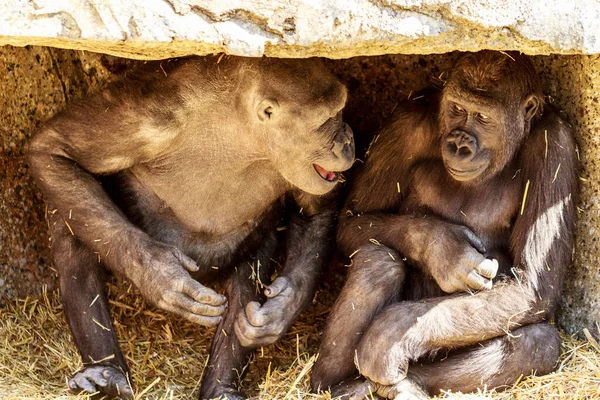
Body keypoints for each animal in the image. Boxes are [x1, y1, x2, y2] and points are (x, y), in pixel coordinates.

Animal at [27, 54, 356, 398]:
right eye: (326, 120)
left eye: (339, 112)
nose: (347, 139)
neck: (245, 137)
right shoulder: (151, 117)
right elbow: (54, 149)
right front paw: (159, 274)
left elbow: (315, 212)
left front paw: (283, 306)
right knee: (72, 209)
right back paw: (102, 371)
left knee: (252, 266)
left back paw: (220, 385)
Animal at [312, 51, 580, 398]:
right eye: (458, 109)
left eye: (483, 117)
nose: (459, 145)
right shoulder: (407, 124)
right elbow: (353, 220)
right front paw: (443, 249)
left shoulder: (555, 144)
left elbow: (532, 285)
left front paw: (390, 335)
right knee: (377, 258)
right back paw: (334, 384)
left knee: (539, 343)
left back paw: (408, 385)